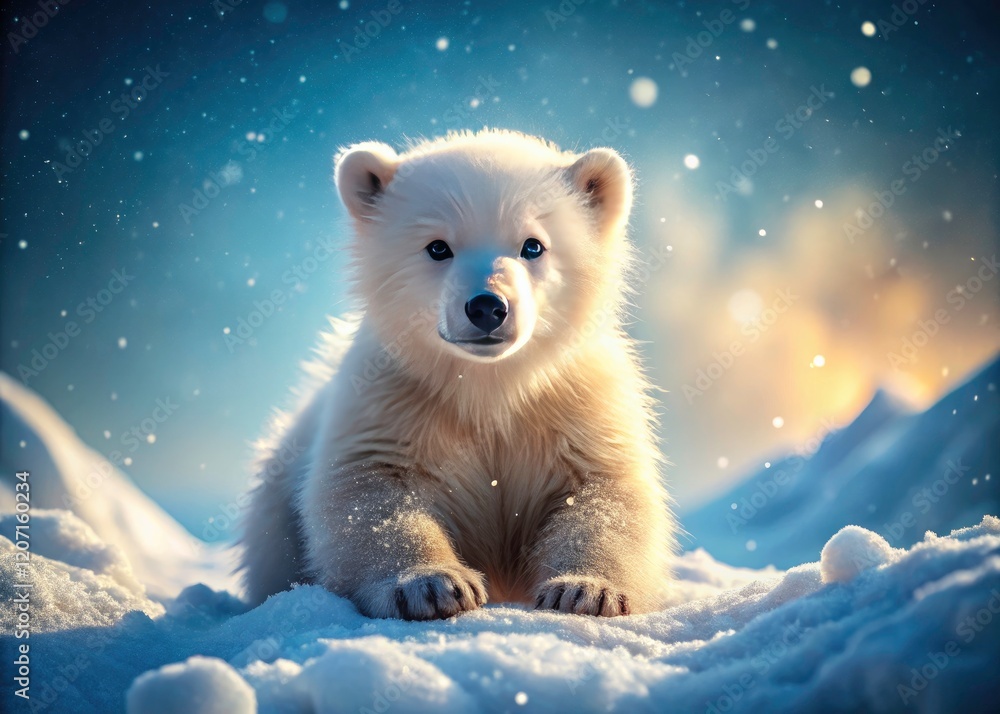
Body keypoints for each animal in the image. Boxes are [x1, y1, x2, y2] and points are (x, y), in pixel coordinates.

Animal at [238, 129, 676, 619]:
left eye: (533, 245)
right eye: (437, 247)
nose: (487, 306)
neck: (490, 387)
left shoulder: (577, 403)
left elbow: (605, 492)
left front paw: (585, 590)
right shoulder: (392, 400)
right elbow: (370, 492)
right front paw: (434, 586)